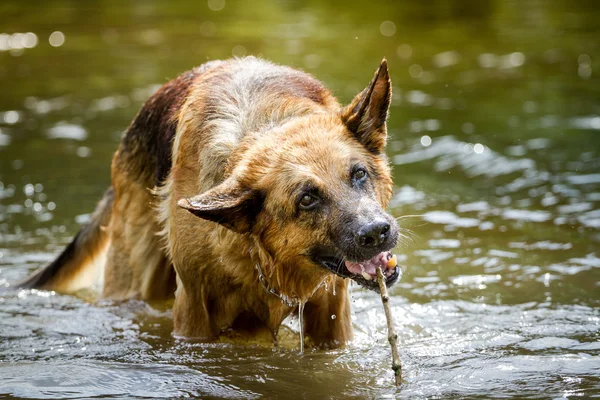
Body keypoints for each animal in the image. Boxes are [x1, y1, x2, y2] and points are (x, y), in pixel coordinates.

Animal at [21, 57, 398, 348]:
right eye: (307, 199)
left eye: (359, 173)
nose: (377, 232)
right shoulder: (194, 316)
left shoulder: (332, 315)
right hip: (133, 284)